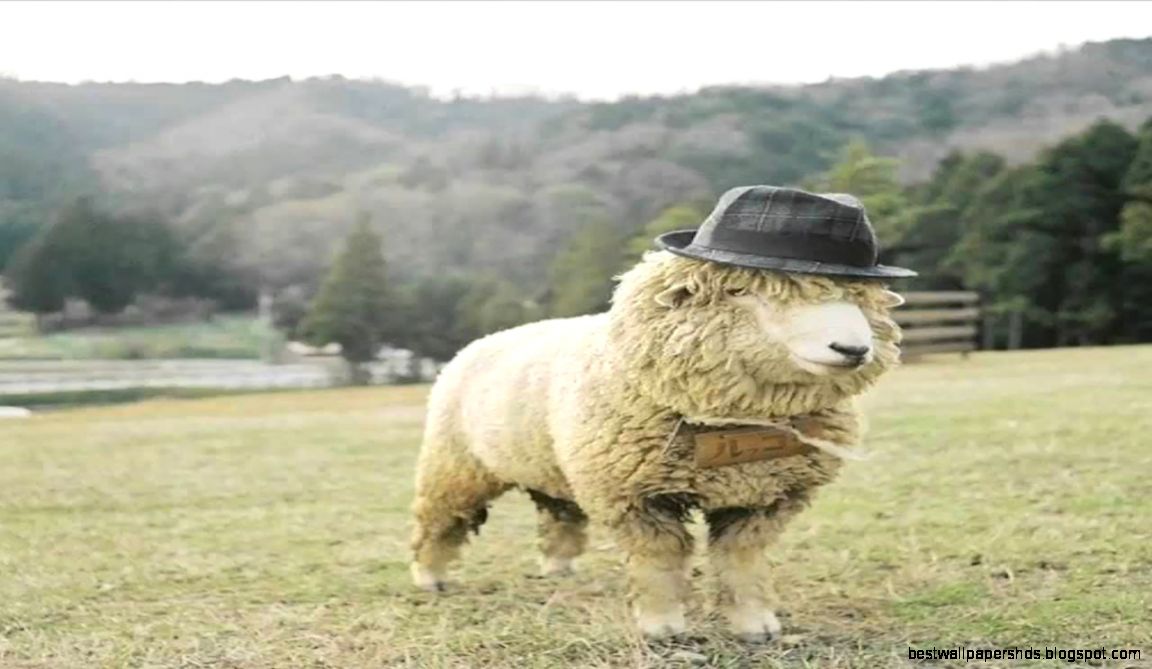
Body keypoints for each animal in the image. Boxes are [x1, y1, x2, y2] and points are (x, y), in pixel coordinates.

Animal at [409, 250, 905, 640]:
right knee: (439, 519)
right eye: (740, 291)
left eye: (858, 297)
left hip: (554, 465)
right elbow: (660, 558)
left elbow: (741, 559)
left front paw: (755, 625)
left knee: (559, 514)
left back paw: (559, 566)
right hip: (455, 464)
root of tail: (483, 340)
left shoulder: (766, 495)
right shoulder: (634, 497)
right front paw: (662, 626)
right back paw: (429, 576)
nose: (852, 348)